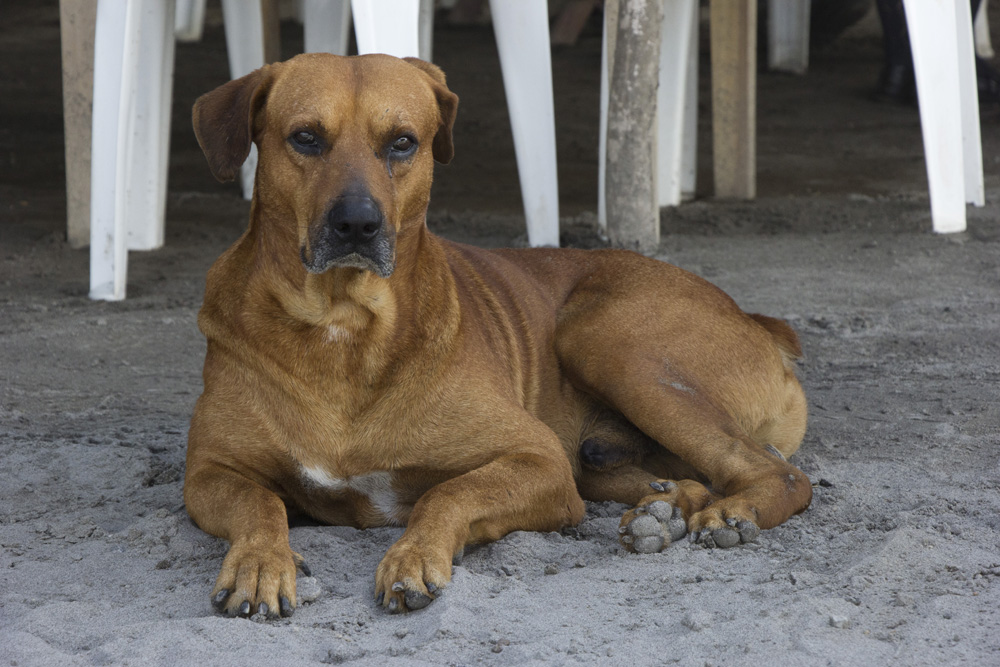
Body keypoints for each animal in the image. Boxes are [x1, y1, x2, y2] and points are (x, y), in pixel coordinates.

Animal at [186, 53, 812, 620]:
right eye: (306, 138)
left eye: (403, 143)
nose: (358, 224)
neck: (345, 323)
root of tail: (757, 319)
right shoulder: (209, 472)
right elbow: (259, 502)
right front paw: (259, 563)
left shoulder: (539, 460)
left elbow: (447, 492)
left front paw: (413, 555)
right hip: (601, 447)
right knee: (695, 479)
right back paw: (665, 511)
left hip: (608, 342)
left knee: (778, 472)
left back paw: (732, 514)